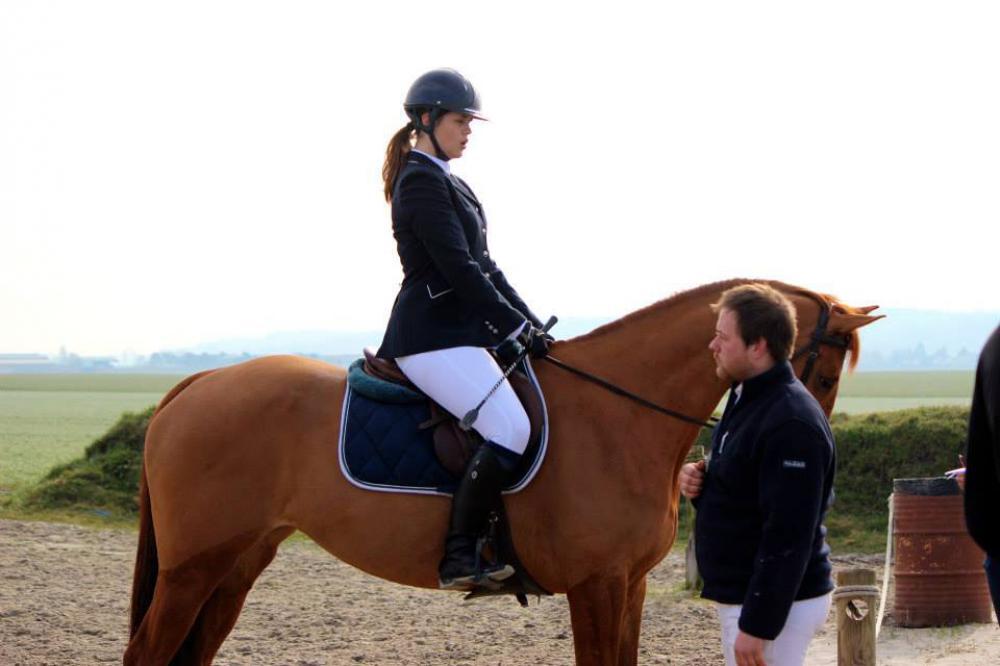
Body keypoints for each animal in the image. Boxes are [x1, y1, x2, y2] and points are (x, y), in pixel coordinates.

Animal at [125, 278, 884, 660]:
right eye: (824, 370)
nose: (818, 459)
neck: (618, 414)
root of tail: (198, 382)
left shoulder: (630, 585)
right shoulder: (596, 586)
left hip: (238, 560)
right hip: (193, 567)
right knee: (147, 653)